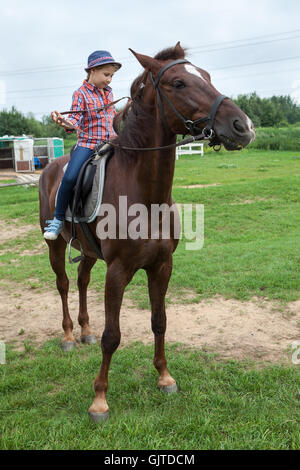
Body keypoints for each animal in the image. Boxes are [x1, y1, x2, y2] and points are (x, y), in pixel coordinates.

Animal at [38, 41, 255, 422]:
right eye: (179, 83)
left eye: (207, 75)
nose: (242, 126)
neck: (144, 194)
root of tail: (51, 167)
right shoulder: (118, 271)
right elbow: (113, 335)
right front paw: (99, 400)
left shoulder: (162, 266)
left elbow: (159, 321)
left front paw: (165, 377)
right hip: (56, 247)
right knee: (63, 284)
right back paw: (68, 336)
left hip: (88, 252)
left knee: (81, 280)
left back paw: (84, 331)